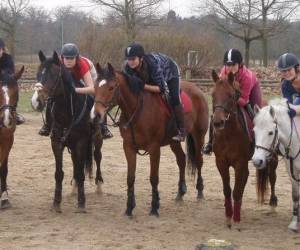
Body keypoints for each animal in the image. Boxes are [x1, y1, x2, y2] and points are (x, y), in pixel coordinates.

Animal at [91, 63, 209, 217]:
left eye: (111, 87)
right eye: (95, 87)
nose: (96, 115)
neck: (137, 110)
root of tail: (197, 89)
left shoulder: (154, 148)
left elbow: (153, 178)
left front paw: (154, 207)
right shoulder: (128, 147)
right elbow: (130, 178)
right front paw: (129, 208)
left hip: (198, 135)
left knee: (199, 161)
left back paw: (200, 191)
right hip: (174, 141)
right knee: (181, 160)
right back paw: (180, 192)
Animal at [207, 70, 278, 229]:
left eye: (231, 95)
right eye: (213, 94)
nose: (218, 122)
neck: (229, 134)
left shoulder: (240, 164)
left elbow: (237, 191)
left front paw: (236, 219)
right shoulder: (221, 162)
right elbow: (228, 190)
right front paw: (228, 216)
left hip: (272, 158)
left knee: (272, 177)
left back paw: (272, 205)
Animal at [253, 98, 300, 231]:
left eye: (271, 132)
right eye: (254, 131)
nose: (257, 161)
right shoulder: (291, 171)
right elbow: (295, 195)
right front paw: (294, 223)